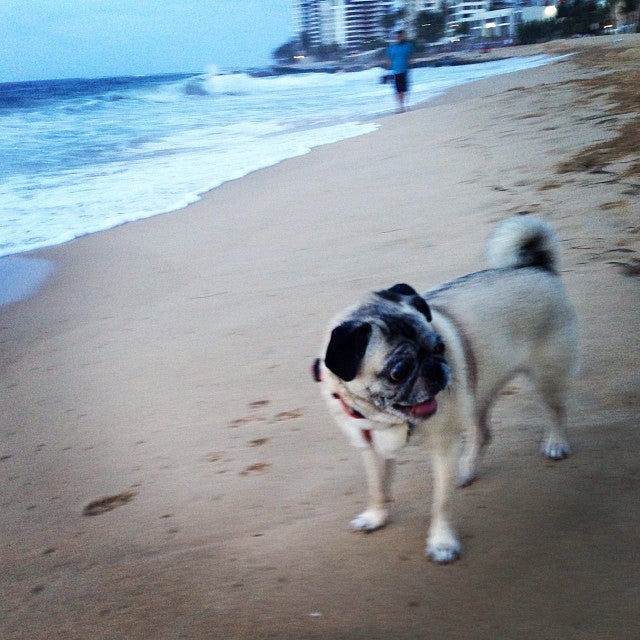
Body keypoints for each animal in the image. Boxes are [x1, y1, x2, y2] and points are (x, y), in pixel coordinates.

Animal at [312, 216, 576, 564]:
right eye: (398, 372)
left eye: (439, 347)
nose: (436, 368)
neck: (389, 420)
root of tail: (536, 268)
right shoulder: (372, 450)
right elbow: (378, 488)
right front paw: (376, 517)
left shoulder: (444, 448)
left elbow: (441, 503)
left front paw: (441, 542)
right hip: (478, 389)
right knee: (483, 432)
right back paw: (467, 470)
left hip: (546, 376)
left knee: (555, 410)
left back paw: (556, 443)